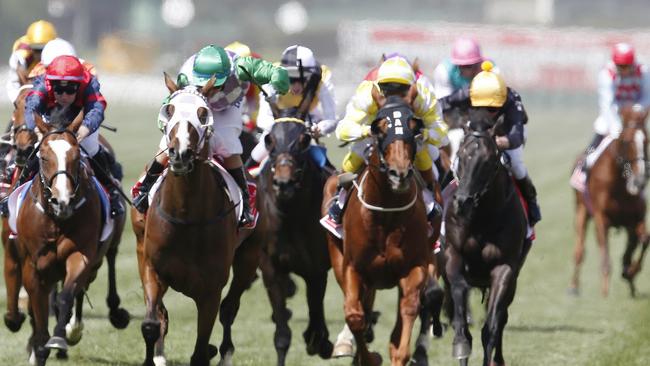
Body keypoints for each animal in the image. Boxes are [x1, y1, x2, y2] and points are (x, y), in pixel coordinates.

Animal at [15, 110, 117, 364]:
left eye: (76, 156)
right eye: (43, 157)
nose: (63, 200)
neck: (56, 220)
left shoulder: (80, 255)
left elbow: (67, 295)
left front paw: (60, 338)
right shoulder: (33, 267)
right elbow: (38, 311)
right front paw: (38, 349)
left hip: (94, 262)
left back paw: (73, 329)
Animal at [134, 75, 258, 366]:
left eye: (203, 114)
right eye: (169, 110)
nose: (180, 153)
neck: (185, 217)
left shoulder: (210, 290)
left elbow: (201, 350)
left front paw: (211, 350)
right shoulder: (153, 269)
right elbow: (151, 324)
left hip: (249, 258)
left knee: (230, 309)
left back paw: (224, 352)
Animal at [322, 85, 432, 366]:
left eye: (414, 125)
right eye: (379, 127)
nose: (399, 173)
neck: (386, 214)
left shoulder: (415, 266)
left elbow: (409, 309)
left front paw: (398, 353)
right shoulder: (353, 268)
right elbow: (354, 315)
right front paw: (369, 356)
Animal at [440, 108, 528, 366]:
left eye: (489, 161)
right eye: (461, 155)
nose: (463, 202)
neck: (481, 218)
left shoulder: (505, 268)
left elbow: (491, 328)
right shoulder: (453, 256)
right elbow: (460, 303)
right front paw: (460, 343)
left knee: (501, 317)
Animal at [568, 103, 644, 298]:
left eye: (646, 140)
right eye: (626, 141)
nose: (639, 181)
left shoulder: (635, 219)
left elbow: (642, 240)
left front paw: (630, 272)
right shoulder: (601, 218)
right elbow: (605, 259)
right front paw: (605, 293)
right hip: (581, 211)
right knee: (579, 251)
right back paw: (573, 287)